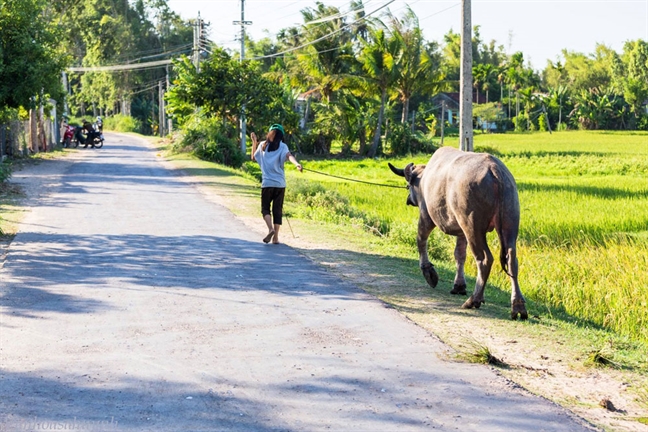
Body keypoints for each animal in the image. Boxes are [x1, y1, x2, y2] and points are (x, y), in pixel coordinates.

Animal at [388, 147, 528, 318]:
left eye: (408, 185)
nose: (409, 199)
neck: (424, 179)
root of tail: (494, 169)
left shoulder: (426, 216)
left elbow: (420, 240)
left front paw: (429, 273)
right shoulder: (461, 233)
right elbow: (459, 254)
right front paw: (459, 285)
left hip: (472, 226)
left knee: (484, 259)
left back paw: (474, 299)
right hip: (510, 222)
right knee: (511, 258)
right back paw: (518, 306)